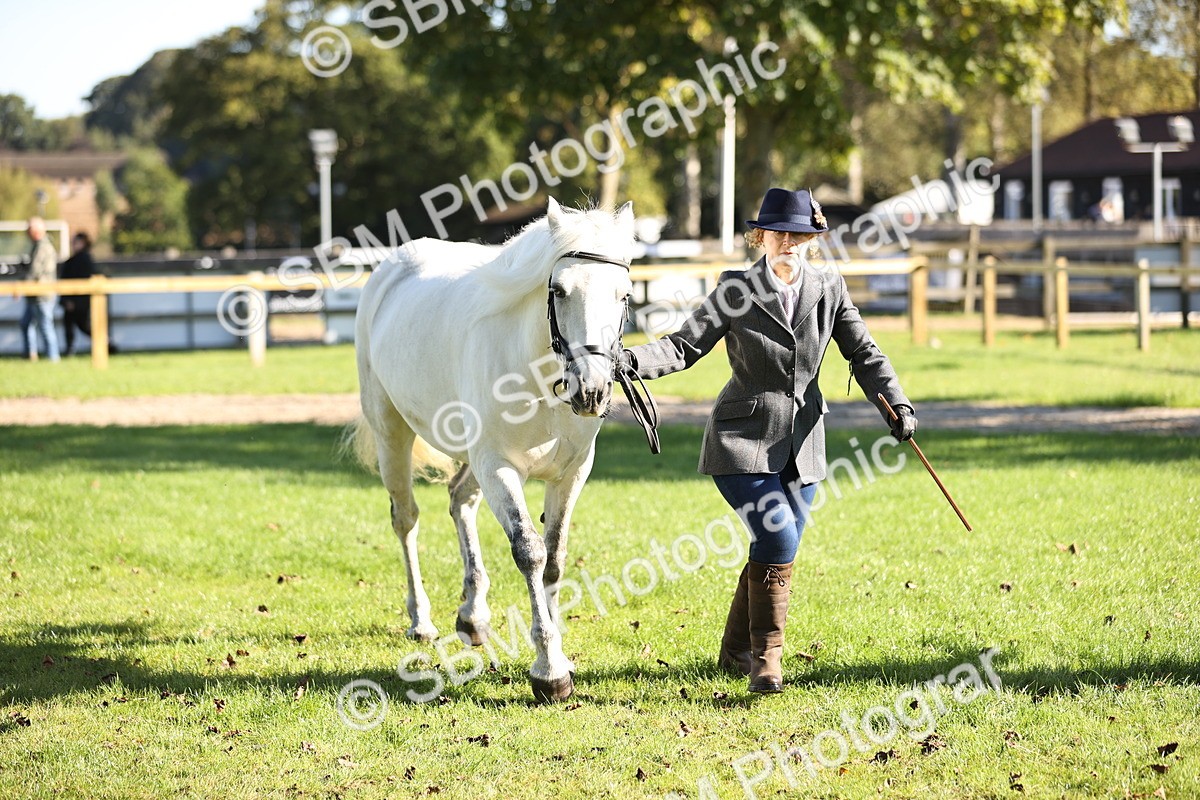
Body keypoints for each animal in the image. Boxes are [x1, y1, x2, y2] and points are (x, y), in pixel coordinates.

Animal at [351, 198, 636, 702]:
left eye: (623, 295)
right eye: (559, 290)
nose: (592, 389)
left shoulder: (571, 473)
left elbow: (555, 559)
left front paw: (560, 655)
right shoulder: (499, 467)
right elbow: (530, 552)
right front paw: (549, 672)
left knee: (460, 501)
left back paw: (473, 616)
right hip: (393, 435)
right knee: (406, 520)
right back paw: (420, 620)